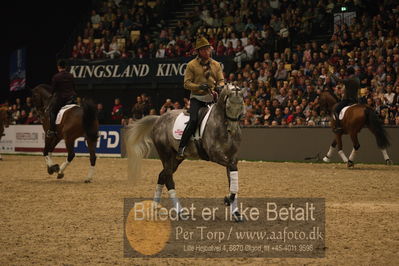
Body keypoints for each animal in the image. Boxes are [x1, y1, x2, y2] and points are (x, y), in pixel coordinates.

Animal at [126, 84, 244, 220]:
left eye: (241, 107)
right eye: (228, 106)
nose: (233, 130)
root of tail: (159, 118)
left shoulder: (232, 157)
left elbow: (233, 181)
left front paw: (235, 212)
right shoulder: (215, 155)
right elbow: (232, 169)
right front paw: (227, 200)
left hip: (176, 158)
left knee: (162, 175)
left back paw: (155, 206)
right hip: (166, 154)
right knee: (168, 178)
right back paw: (180, 211)